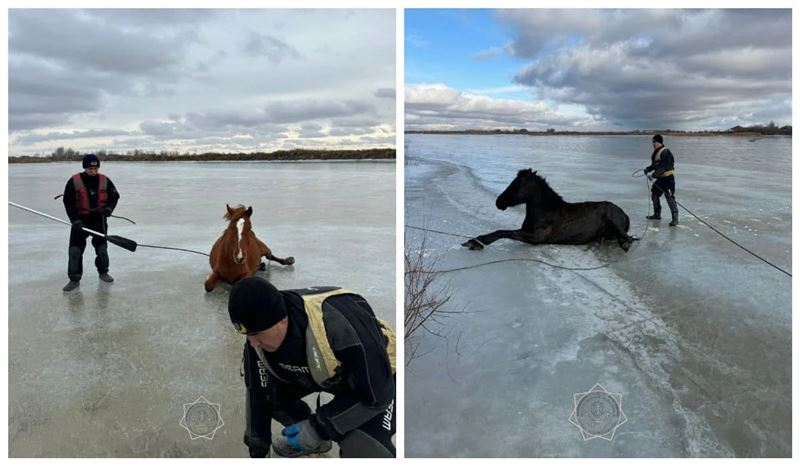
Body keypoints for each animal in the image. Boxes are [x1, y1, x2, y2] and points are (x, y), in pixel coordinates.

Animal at [466, 169, 636, 251]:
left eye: (518, 184)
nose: (499, 202)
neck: (545, 211)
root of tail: (625, 214)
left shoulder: (537, 238)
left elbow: (504, 232)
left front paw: (477, 242)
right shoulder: (526, 231)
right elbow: (506, 231)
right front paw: (474, 241)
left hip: (615, 223)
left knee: (628, 238)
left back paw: (624, 245)